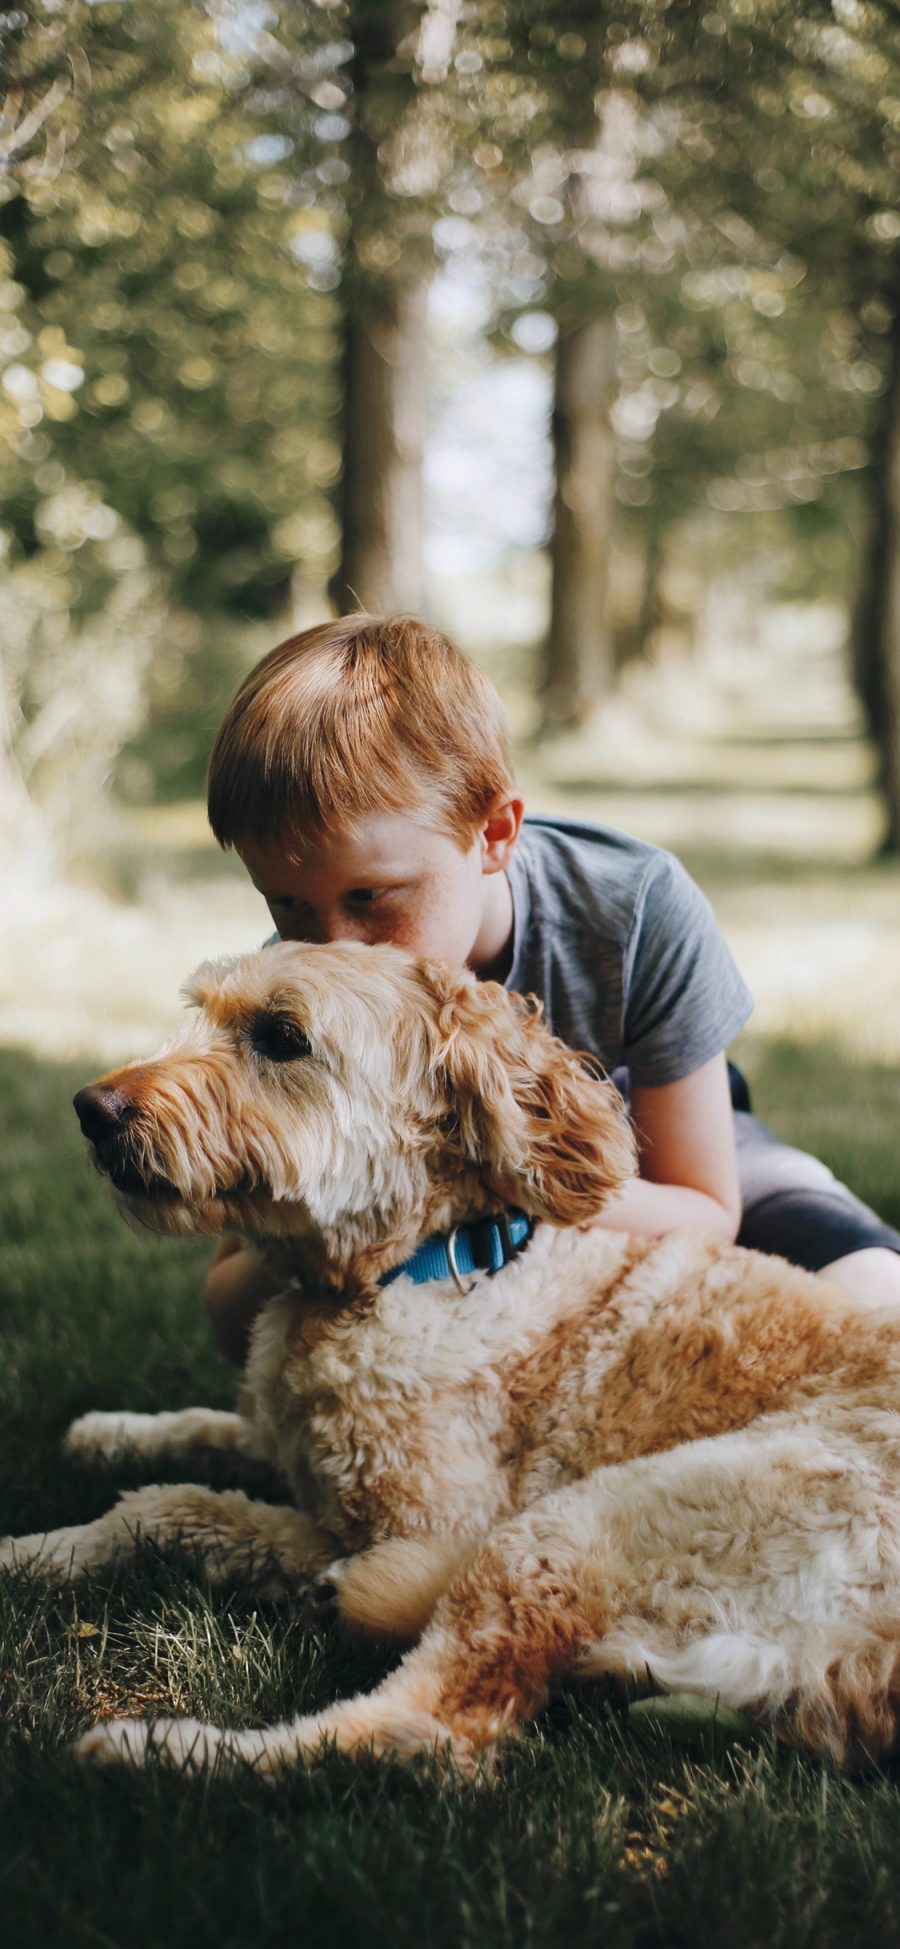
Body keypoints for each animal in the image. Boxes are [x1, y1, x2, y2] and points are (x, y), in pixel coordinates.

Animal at [5, 943, 900, 1785]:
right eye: (205, 1010)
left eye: (282, 1036)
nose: (92, 1109)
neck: (422, 1266)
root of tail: (867, 1671)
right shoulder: (294, 1447)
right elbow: (194, 1452)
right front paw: (107, 1436)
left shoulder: (430, 1527)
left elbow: (180, 1505)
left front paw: (26, 1553)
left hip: (571, 1530)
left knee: (425, 1735)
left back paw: (163, 1751)